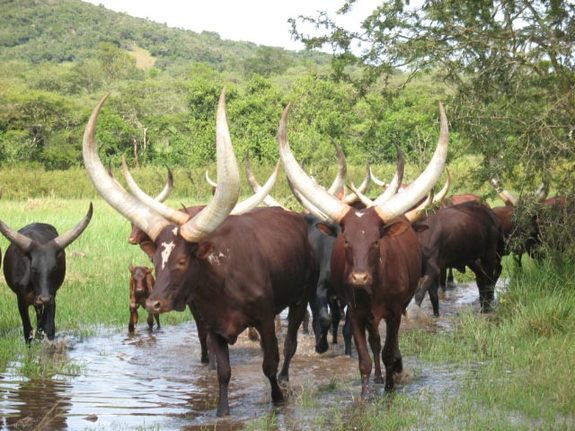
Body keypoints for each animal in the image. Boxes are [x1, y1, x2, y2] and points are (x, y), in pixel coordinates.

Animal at [0, 206, 92, 344]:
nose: (43, 298)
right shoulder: (21, 299)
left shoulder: (52, 297)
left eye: (54, 268)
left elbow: (48, 328)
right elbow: (28, 331)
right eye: (33, 268)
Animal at [85, 89, 318, 416]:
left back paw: (286, 376)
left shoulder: (263, 317)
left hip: (300, 297)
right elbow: (223, 372)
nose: (154, 303)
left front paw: (277, 399)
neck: (222, 283)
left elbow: (269, 364)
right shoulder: (212, 325)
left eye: (183, 260)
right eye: (156, 261)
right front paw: (222, 412)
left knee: (291, 343)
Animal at [280, 101, 450, 398]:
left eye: (375, 241)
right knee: (372, 340)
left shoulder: (394, 311)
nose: (359, 277)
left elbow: (389, 351)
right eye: (346, 241)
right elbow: (365, 357)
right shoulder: (357, 312)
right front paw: (366, 394)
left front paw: (391, 387)